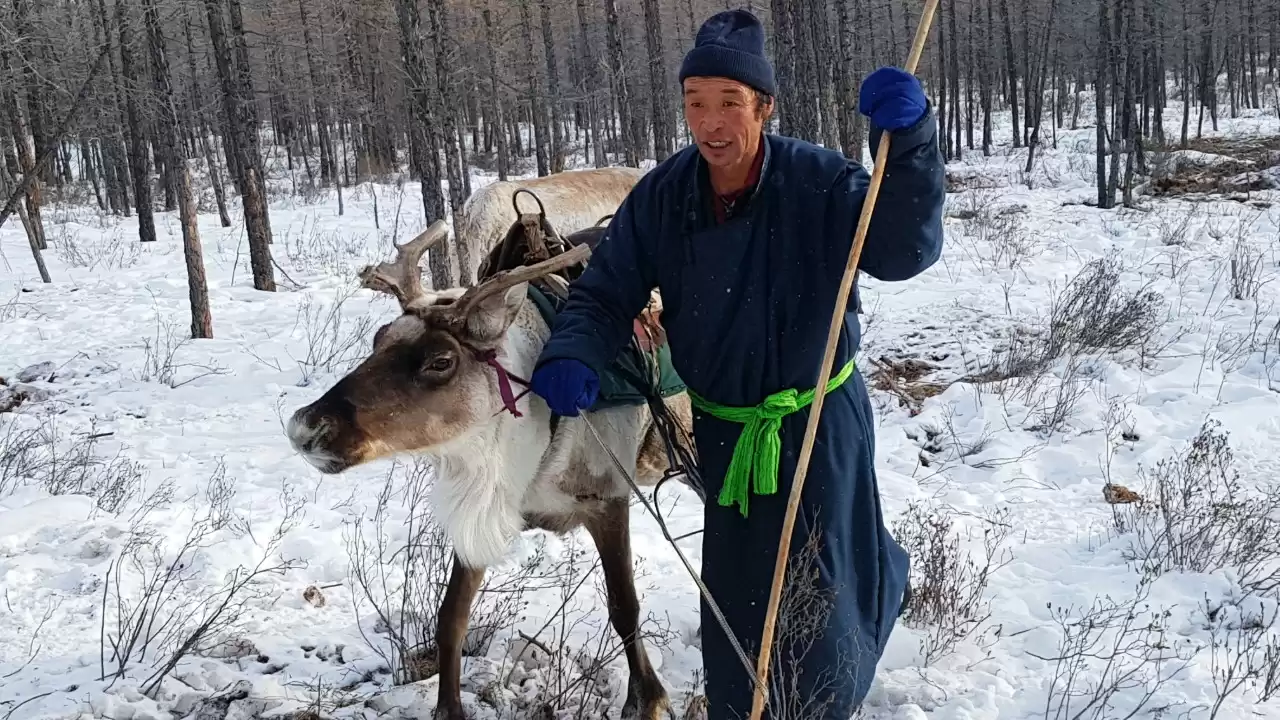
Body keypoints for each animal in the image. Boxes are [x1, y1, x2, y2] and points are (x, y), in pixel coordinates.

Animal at [285, 218, 695, 720]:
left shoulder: (608, 498)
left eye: (441, 360)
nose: (305, 427)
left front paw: (648, 698)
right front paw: (448, 708)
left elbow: (624, 607)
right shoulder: (483, 511)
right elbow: (451, 617)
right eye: (378, 338)